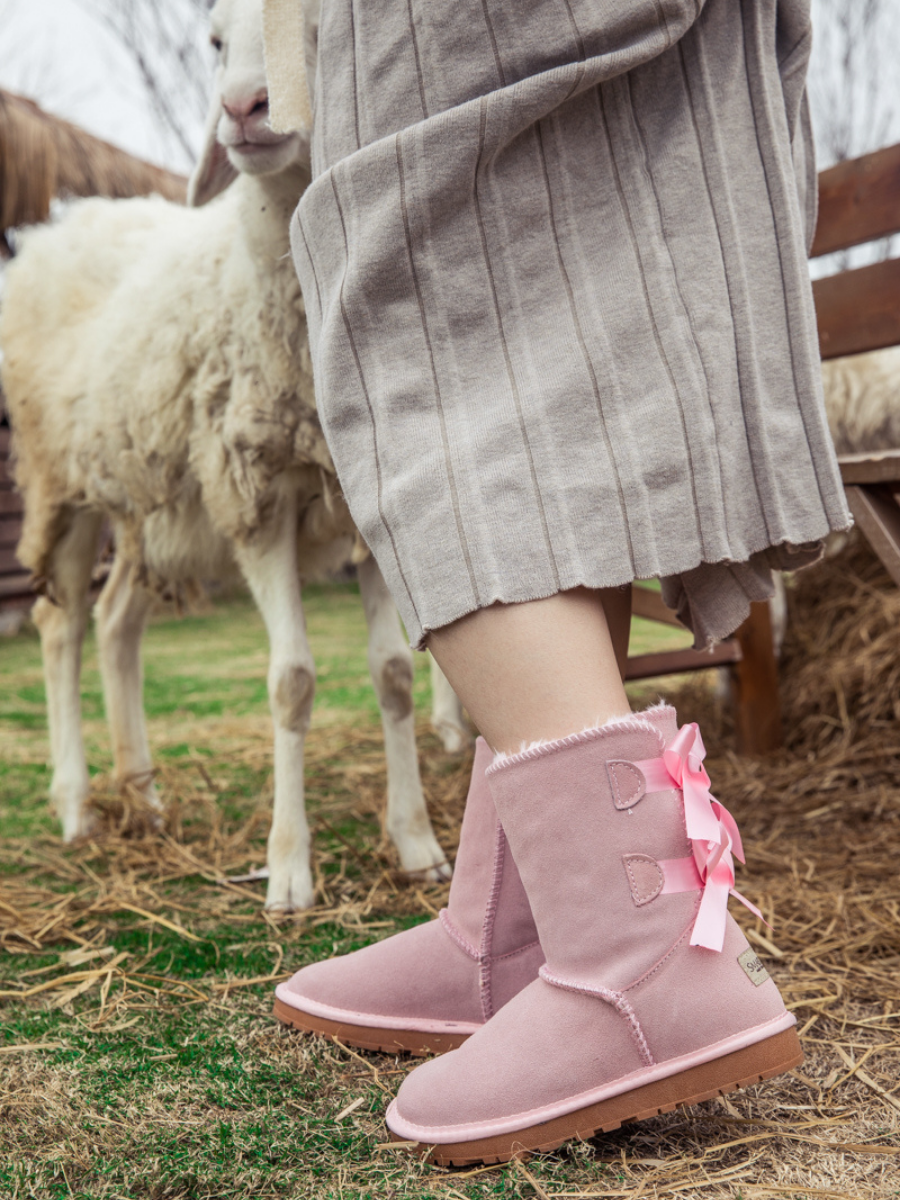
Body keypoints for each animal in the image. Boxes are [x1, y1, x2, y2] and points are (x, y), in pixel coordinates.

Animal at [0, 0, 468, 907]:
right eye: (214, 39)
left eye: (326, 27)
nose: (244, 109)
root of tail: (61, 222)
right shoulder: (256, 490)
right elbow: (292, 682)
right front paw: (288, 871)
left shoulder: (363, 499)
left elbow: (393, 674)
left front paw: (416, 842)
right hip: (60, 484)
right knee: (58, 625)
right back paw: (77, 805)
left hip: (149, 498)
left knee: (115, 625)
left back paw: (143, 796)